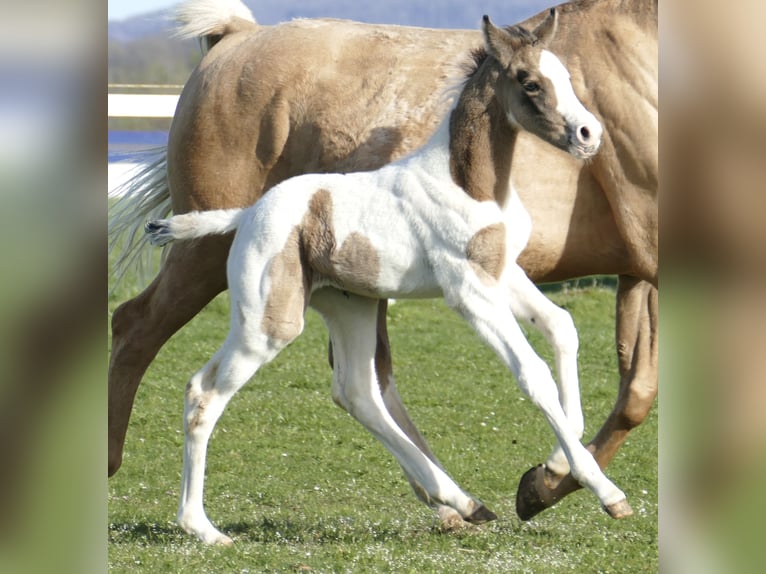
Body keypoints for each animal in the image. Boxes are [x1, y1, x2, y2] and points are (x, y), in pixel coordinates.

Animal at [108, 0, 658, 522]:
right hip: (266, 320)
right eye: (530, 82)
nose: (589, 135)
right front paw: (602, 492)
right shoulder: (469, 291)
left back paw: (459, 502)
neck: (470, 183)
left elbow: (563, 328)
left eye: (566, 74)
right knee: (192, 381)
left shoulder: (504, 273)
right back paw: (197, 524)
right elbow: (532, 372)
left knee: (357, 391)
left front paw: (555, 469)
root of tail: (248, 212)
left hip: (349, 304)